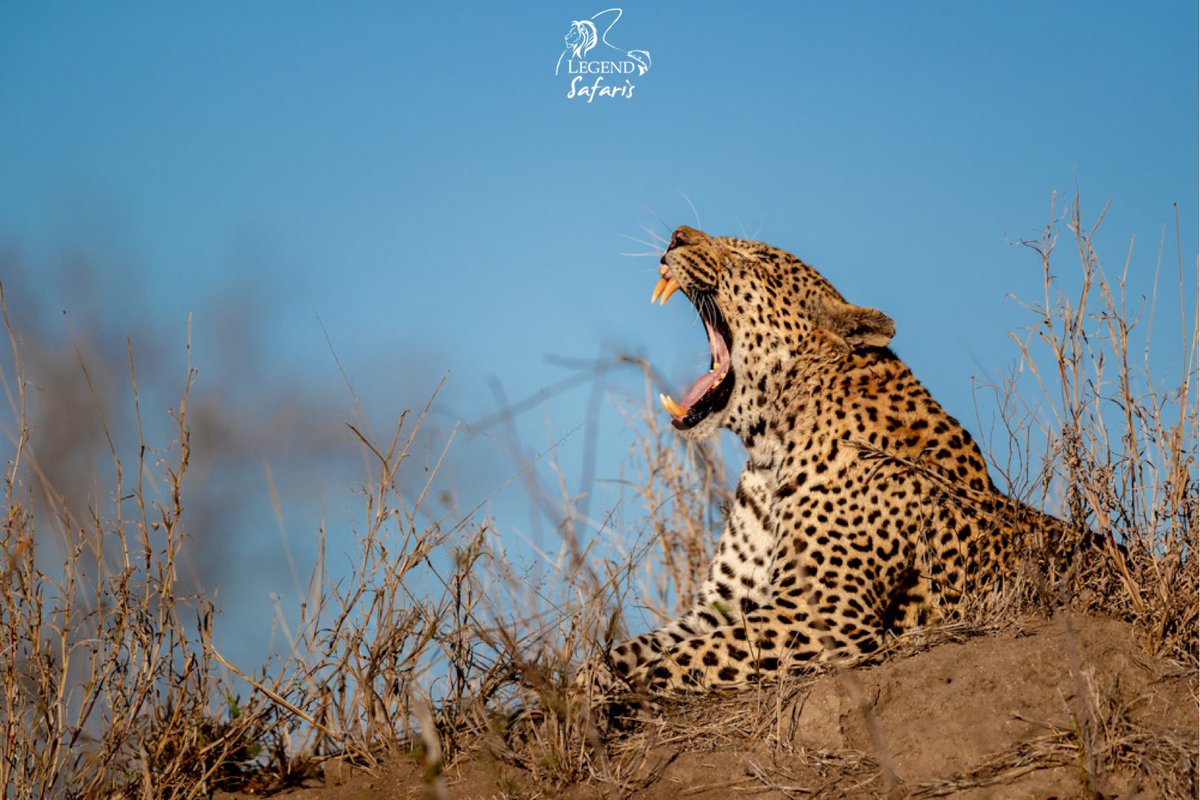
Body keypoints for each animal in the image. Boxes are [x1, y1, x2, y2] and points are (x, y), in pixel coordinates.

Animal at [578, 224, 1099, 695]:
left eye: (749, 257)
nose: (676, 236)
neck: (769, 452)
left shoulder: (822, 614)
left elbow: (680, 661)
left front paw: (613, 702)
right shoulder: (720, 605)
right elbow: (629, 649)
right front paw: (578, 688)